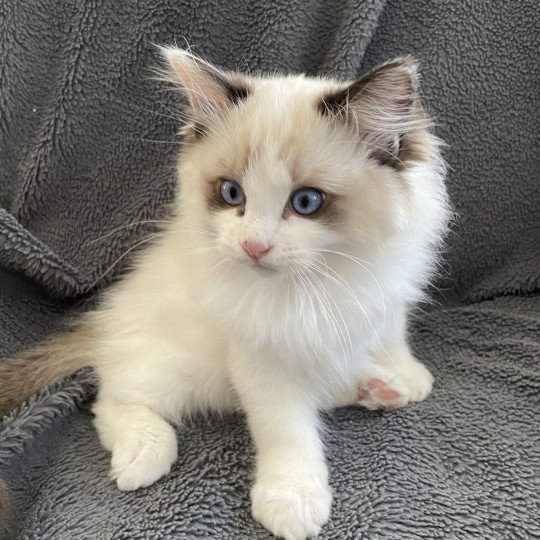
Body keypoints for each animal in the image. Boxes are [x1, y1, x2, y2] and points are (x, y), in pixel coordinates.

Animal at [0, 47, 452, 540]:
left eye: (306, 202)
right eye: (232, 193)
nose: (254, 247)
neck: (323, 277)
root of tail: (104, 323)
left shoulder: (385, 296)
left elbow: (389, 337)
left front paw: (407, 374)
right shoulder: (261, 358)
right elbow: (287, 429)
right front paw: (292, 498)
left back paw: (378, 388)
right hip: (176, 371)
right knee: (113, 399)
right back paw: (144, 453)